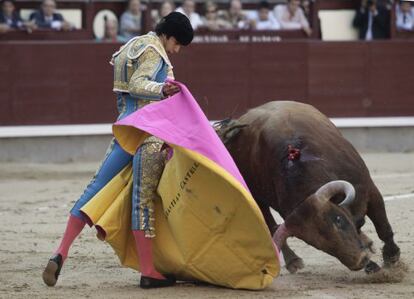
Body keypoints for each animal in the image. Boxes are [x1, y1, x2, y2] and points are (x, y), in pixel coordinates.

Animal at [217, 102, 402, 276]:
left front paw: (391, 257)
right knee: (271, 225)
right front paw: (372, 265)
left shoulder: (370, 190)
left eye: (338, 220)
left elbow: (383, 228)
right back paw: (293, 261)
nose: (359, 261)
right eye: (318, 245)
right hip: (256, 198)